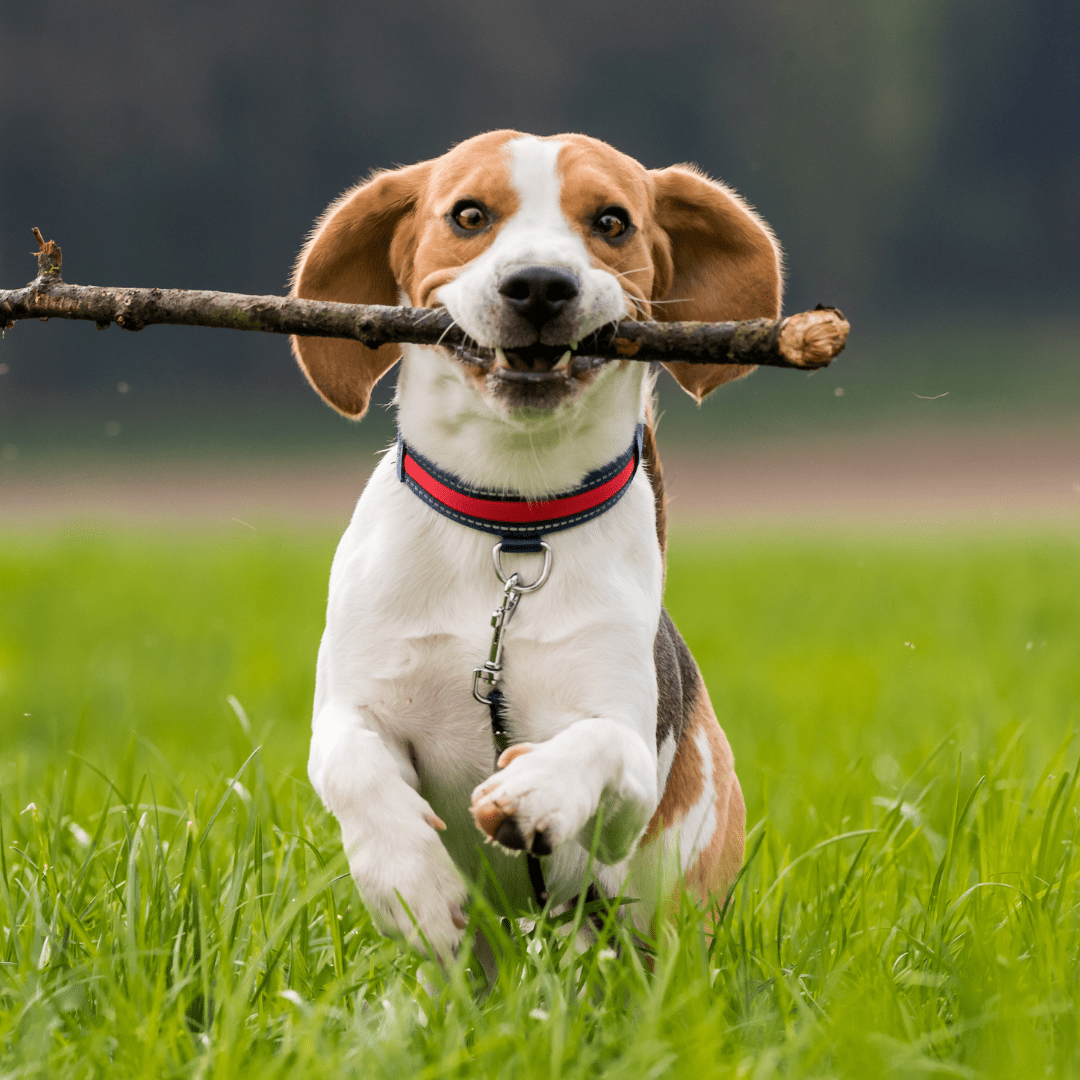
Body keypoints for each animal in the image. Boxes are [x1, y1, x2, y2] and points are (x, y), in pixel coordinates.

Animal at [291, 130, 781, 959]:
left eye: (612, 222)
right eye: (469, 215)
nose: (540, 285)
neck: (513, 529)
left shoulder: (626, 769)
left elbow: (599, 747)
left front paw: (533, 791)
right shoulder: (351, 707)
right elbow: (354, 765)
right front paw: (413, 886)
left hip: (666, 911)